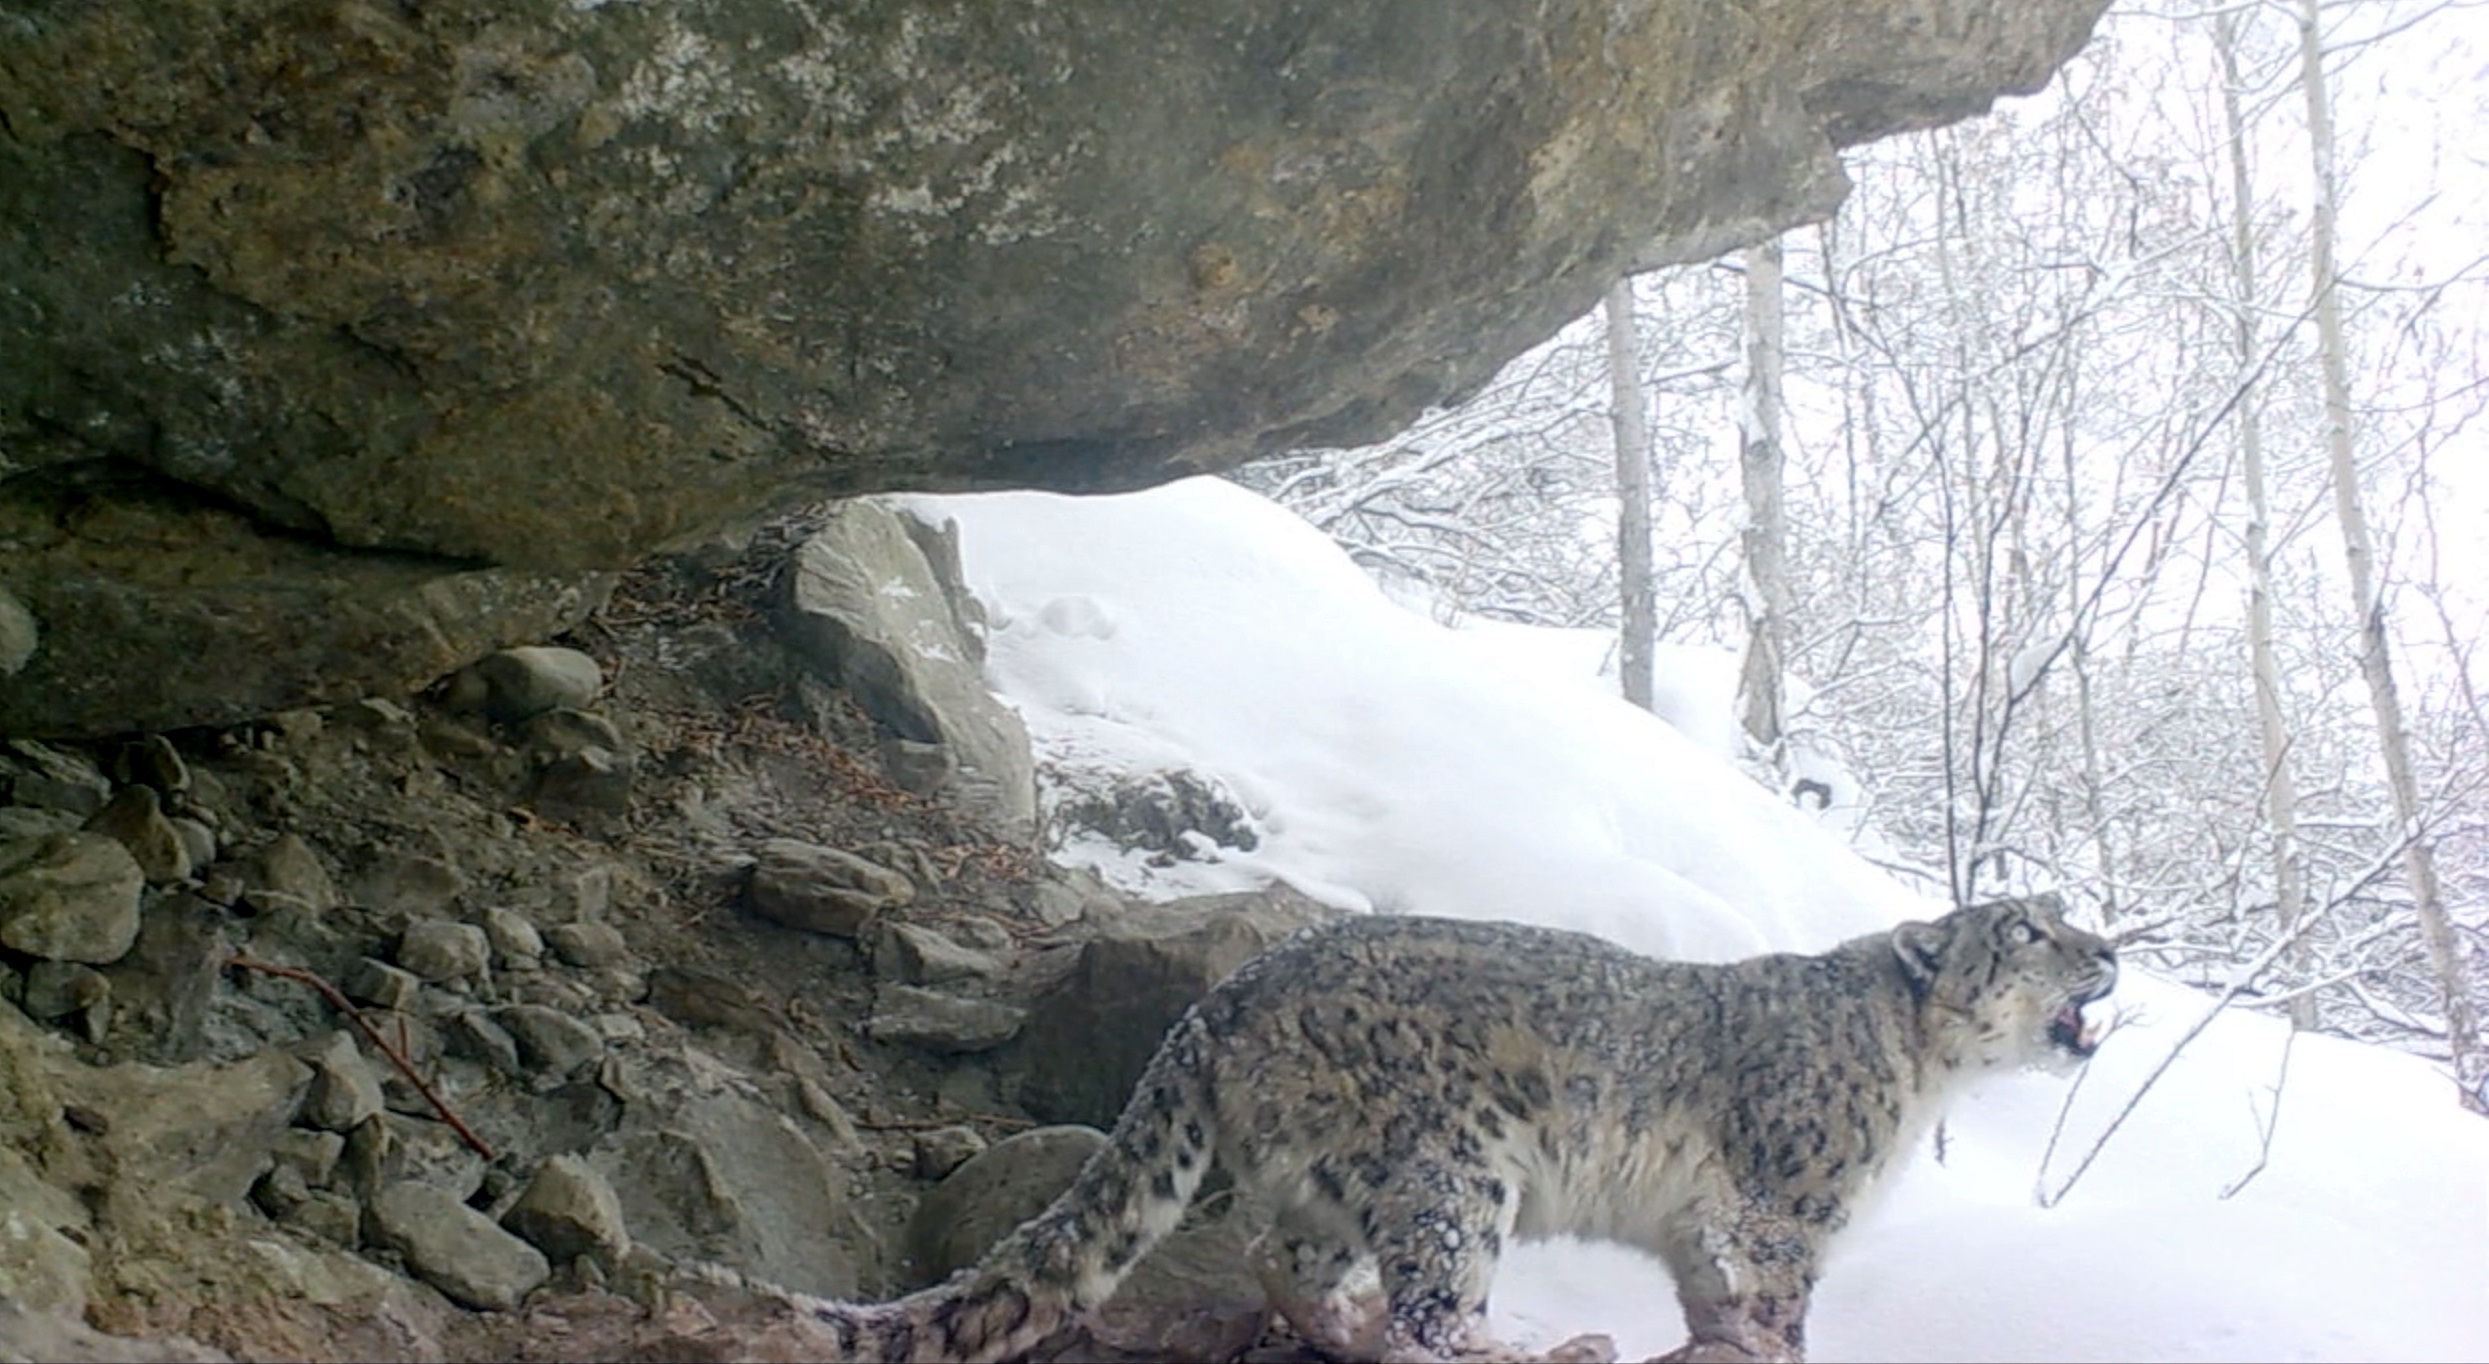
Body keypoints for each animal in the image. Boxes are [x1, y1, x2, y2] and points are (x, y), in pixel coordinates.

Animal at [801, 896, 2120, 1364]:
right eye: (2024, 927)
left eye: (2066, 916)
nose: (2108, 948)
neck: (1923, 1077)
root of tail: (1223, 996)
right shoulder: (1782, 1213)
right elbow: (1779, 1305)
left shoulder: (1712, 1230)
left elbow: (1715, 1304)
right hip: (1452, 1172)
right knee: (1432, 1314)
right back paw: (1531, 1348)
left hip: (1335, 1183)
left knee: (1288, 1260)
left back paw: (1339, 1327)